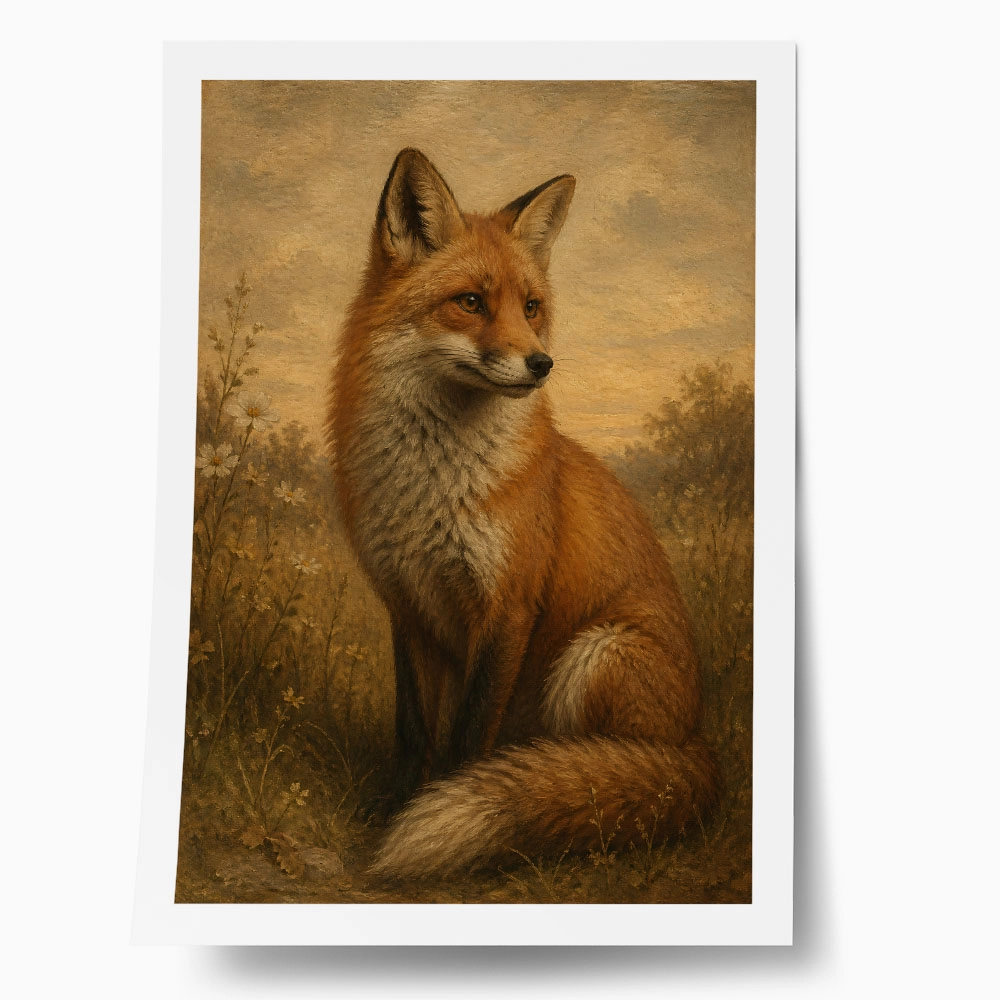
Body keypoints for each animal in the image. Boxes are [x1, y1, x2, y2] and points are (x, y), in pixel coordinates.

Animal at [328, 148, 719, 878]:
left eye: (531, 307)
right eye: (471, 302)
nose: (542, 363)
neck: (434, 487)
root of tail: (696, 745)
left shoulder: (507, 606)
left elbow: (467, 733)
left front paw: (442, 808)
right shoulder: (408, 604)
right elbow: (414, 728)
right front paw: (399, 805)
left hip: (591, 656)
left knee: (605, 776)